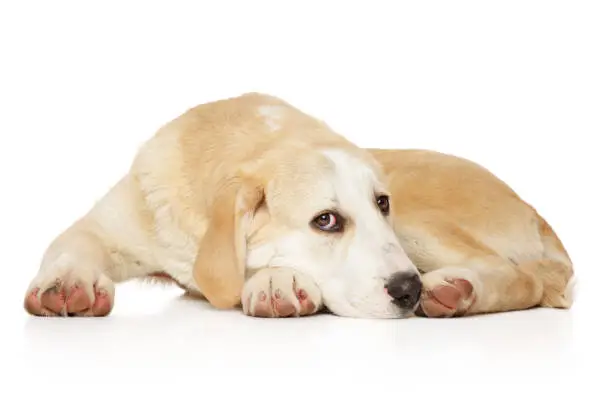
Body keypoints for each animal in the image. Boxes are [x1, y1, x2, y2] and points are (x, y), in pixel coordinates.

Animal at [22, 91, 572, 318]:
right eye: (325, 221)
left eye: (382, 204)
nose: (408, 289)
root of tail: (536, 211)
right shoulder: (106, 224)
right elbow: (69, 245)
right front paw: (66, 284)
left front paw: (275, 280)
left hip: (421, 223)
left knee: (525, 278)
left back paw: (457, 291)